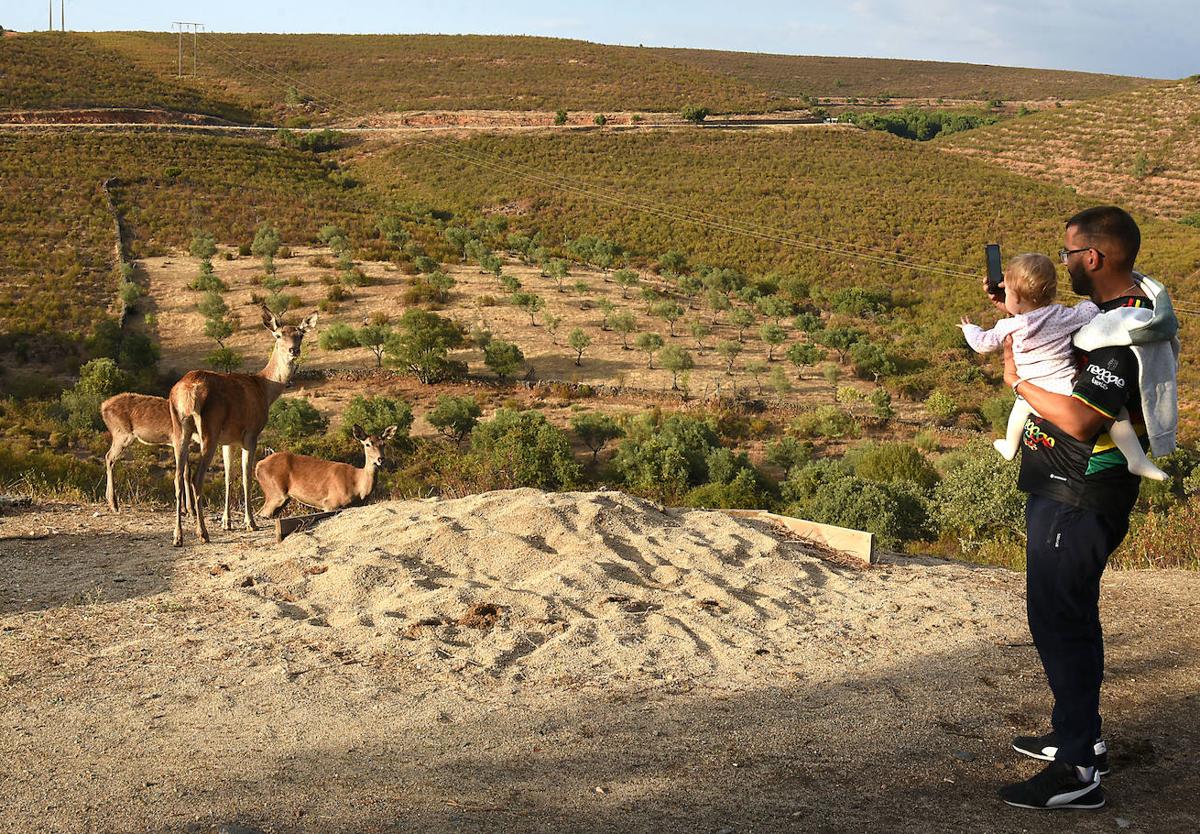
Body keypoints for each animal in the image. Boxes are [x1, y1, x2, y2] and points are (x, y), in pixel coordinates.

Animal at [171, 307, 319, 547]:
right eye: (278, 335)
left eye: (300, 334)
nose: (293, 350)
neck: (265, 390)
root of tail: (187, 393)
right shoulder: (251, 433)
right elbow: (247, 475)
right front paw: (250, 523)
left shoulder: (228, 440)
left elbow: (228, 476)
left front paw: (227, 522)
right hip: (208, 431)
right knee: (196, 479)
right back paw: (202, 533)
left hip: (179, 430)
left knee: (177, 478)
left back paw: (178, 536)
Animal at [256, 424, 398, 516]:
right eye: (367, 444)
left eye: (384, 444)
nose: (381, 459)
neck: (358, 487)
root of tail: (258, 465)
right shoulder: (330, 503)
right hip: (275, 492)